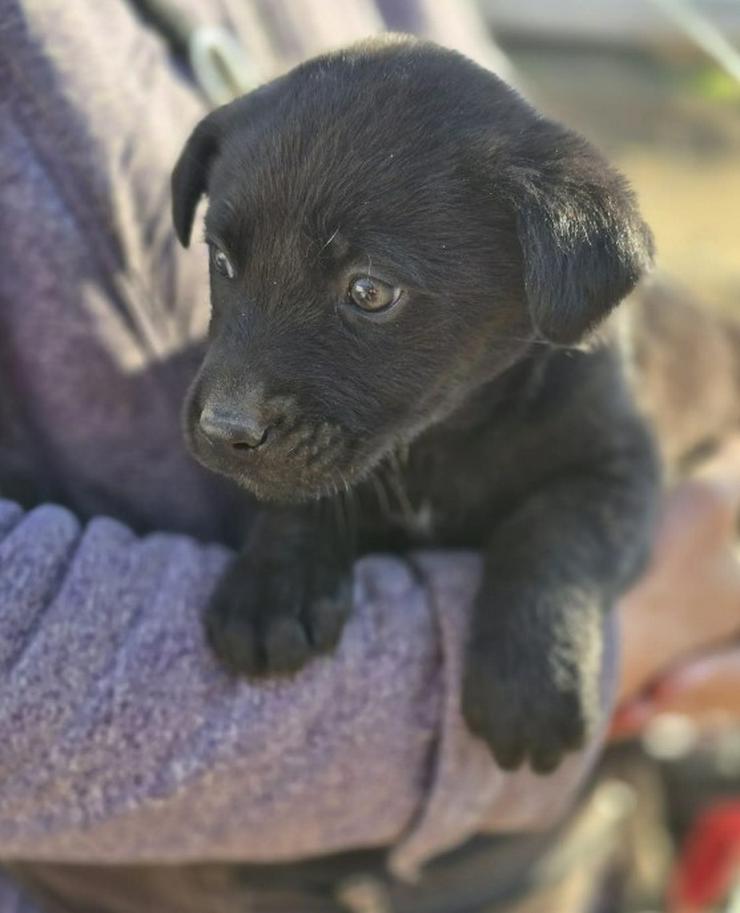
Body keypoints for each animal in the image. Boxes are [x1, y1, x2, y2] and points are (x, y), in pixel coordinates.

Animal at [172, 39, 660, 772]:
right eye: (222, 261)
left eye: (370, 292)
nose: (222, 430)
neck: (444, 437)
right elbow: (302, 493)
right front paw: (273, 587)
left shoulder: (622, 464)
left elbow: (554, 528)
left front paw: (532, 674)